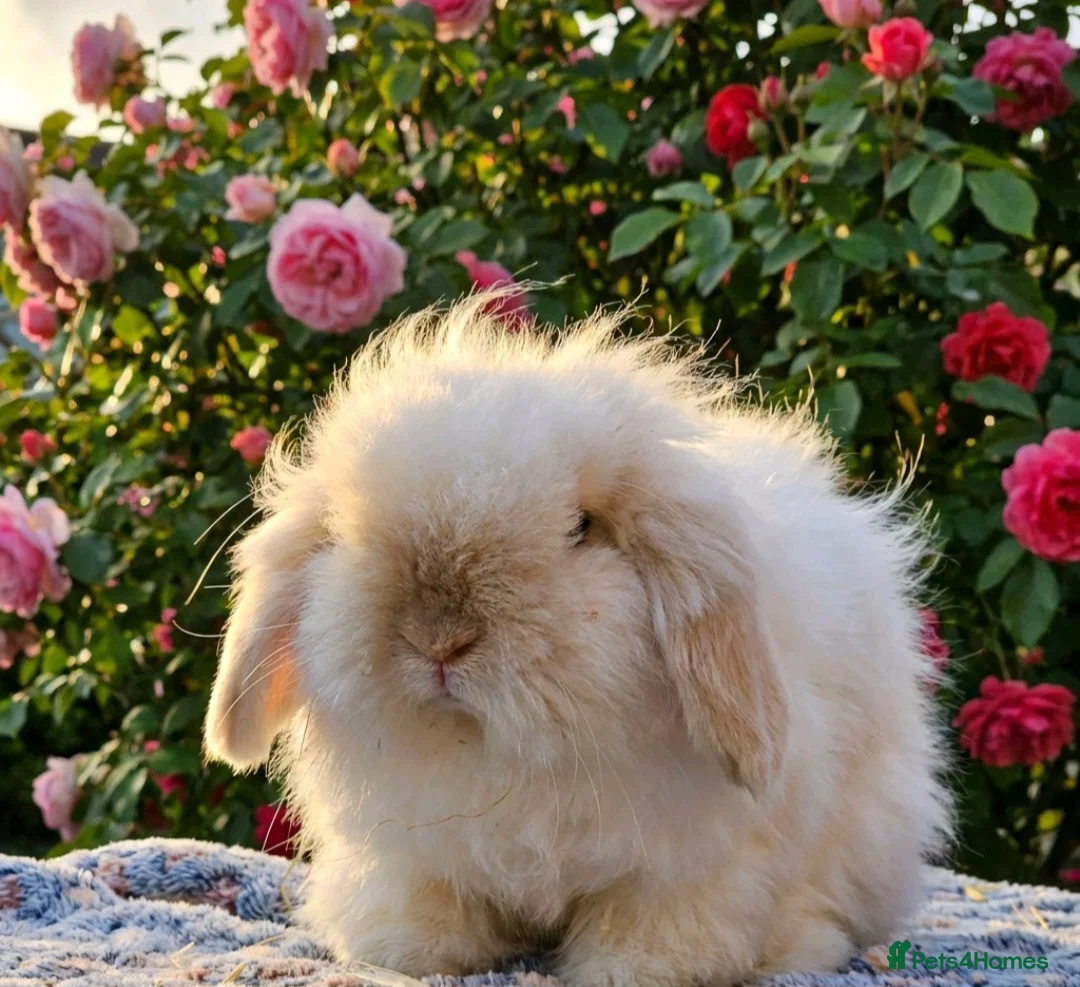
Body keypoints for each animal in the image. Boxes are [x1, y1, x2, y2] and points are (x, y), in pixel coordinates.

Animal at [204, 293, 952, 987]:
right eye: (346, 534)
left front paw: (636, 966)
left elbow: (657, 931)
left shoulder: (690, 868)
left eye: (583, 527)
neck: (497, 755)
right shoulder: (411, 856)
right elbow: (423, 916)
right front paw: (409, 950)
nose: (439, 640)